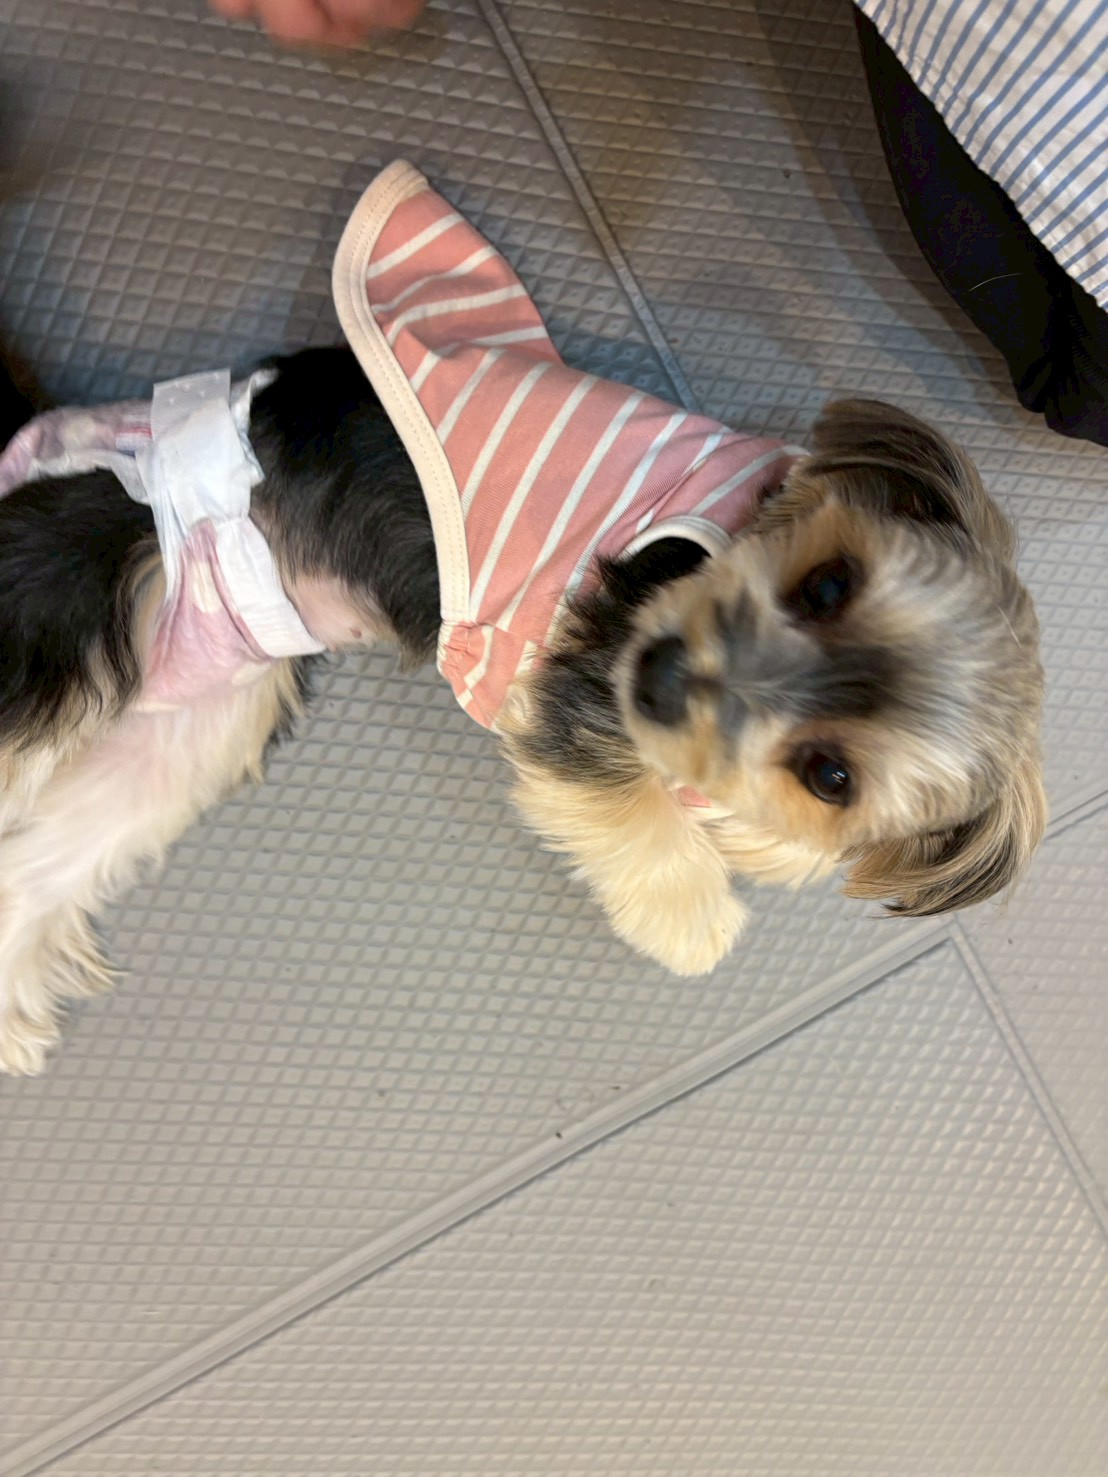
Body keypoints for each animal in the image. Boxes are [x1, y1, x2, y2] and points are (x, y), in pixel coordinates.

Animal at [0, 171, 1046, 1076]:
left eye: (832, 776)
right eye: (825, 586)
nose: (658, 676)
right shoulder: (582, 690)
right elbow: (630, 815)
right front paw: (693, 919)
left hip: (193, 722)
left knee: (40, 862)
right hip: (66, 595)